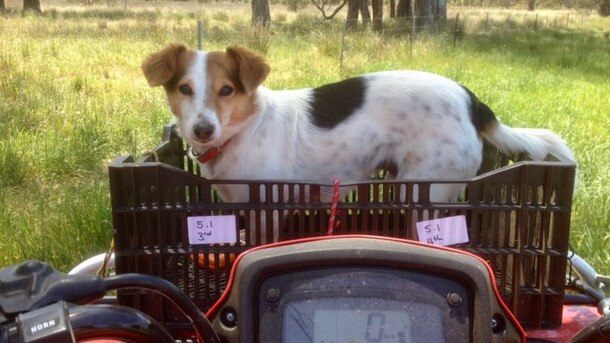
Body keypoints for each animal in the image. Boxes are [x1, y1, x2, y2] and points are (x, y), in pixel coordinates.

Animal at [141, 42, 576, 204]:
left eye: (227, 90)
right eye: (184, 89)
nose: (202, 130)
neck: (244, 128)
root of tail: (473, 101)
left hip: (424, 187)